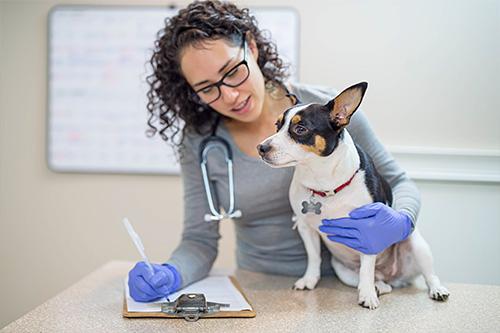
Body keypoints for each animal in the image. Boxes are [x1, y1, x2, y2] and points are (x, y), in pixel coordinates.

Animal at [258, 82, 450, 308]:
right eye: (277, 125)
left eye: (300, 129)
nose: (261, 147)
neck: (324, 183)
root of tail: (393, 275)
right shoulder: (306, 227)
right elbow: (314, 258)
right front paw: (309, 280)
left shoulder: (368, 230)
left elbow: (366, 268)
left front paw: (366, 295)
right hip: (342, 270)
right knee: (380, 282)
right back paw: (379, 286)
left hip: (416, 245)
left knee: (428, 274)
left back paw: (436, 289)